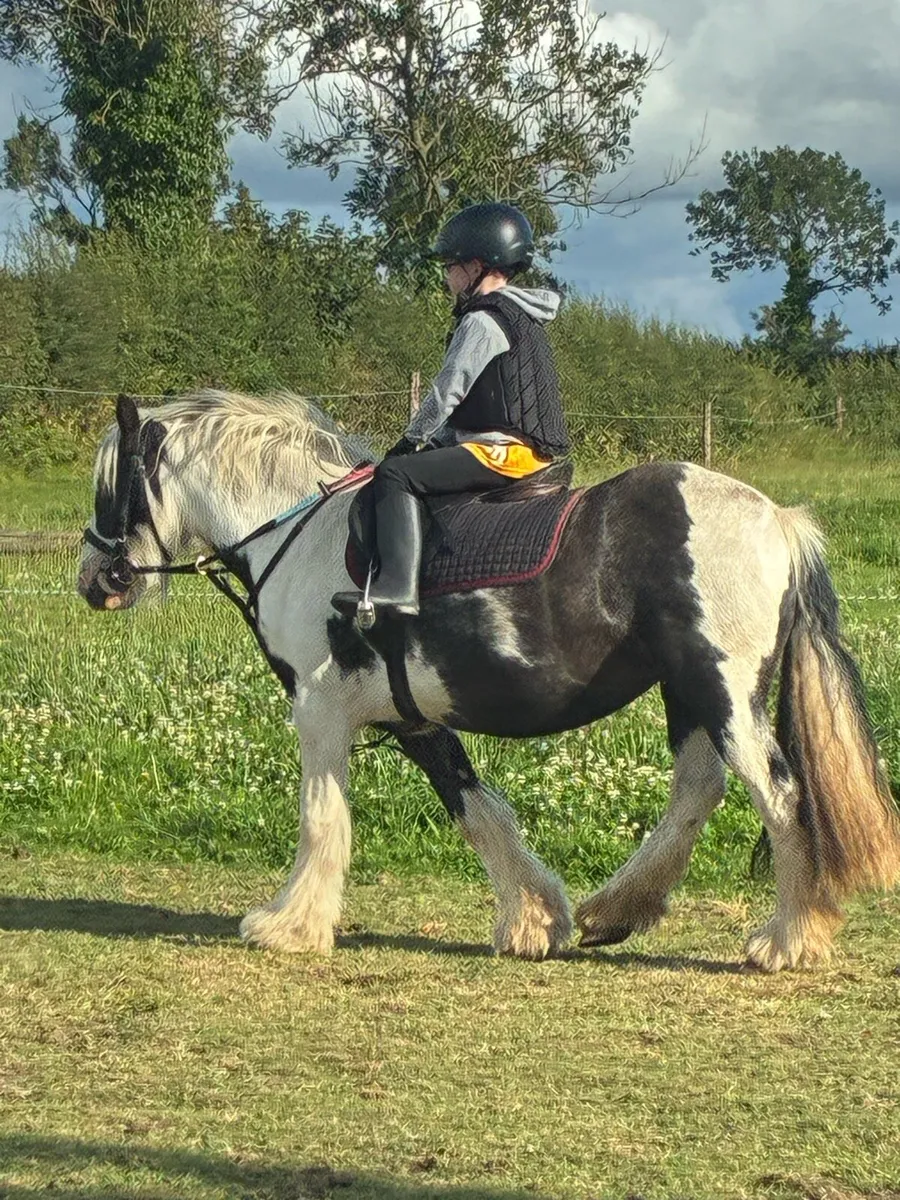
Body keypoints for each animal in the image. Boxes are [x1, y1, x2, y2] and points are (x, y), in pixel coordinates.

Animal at [77, 389, 900, 972]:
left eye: (112, 488)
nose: (94, 581)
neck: (301, 532)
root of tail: (777, 518)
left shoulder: (320, 711)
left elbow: (322, 817)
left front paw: (290, 924)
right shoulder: (412, 718)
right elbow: (477, 809)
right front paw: (536, 918)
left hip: (723, 691)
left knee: (782, 796)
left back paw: (790, 938)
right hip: (691, 692)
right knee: (700, 790)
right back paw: (616, 910)